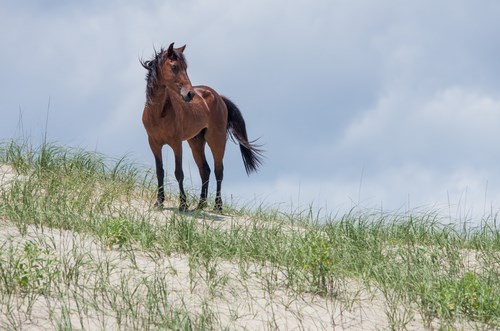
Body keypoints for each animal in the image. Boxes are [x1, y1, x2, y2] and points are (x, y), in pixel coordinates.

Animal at [141, 42, 264, 213]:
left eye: (186, 67)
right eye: (174, 66)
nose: (190, 94)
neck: (159, 112)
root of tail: (219, 97)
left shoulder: (176, 143)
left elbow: (179, 172)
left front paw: (183, 204)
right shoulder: (154, 143)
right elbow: (160, 171)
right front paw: (159, 202)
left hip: (216, 140)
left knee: (218, 171)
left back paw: (217, 206)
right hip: (196, 141)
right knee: (205, 170)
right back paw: (201, 204)